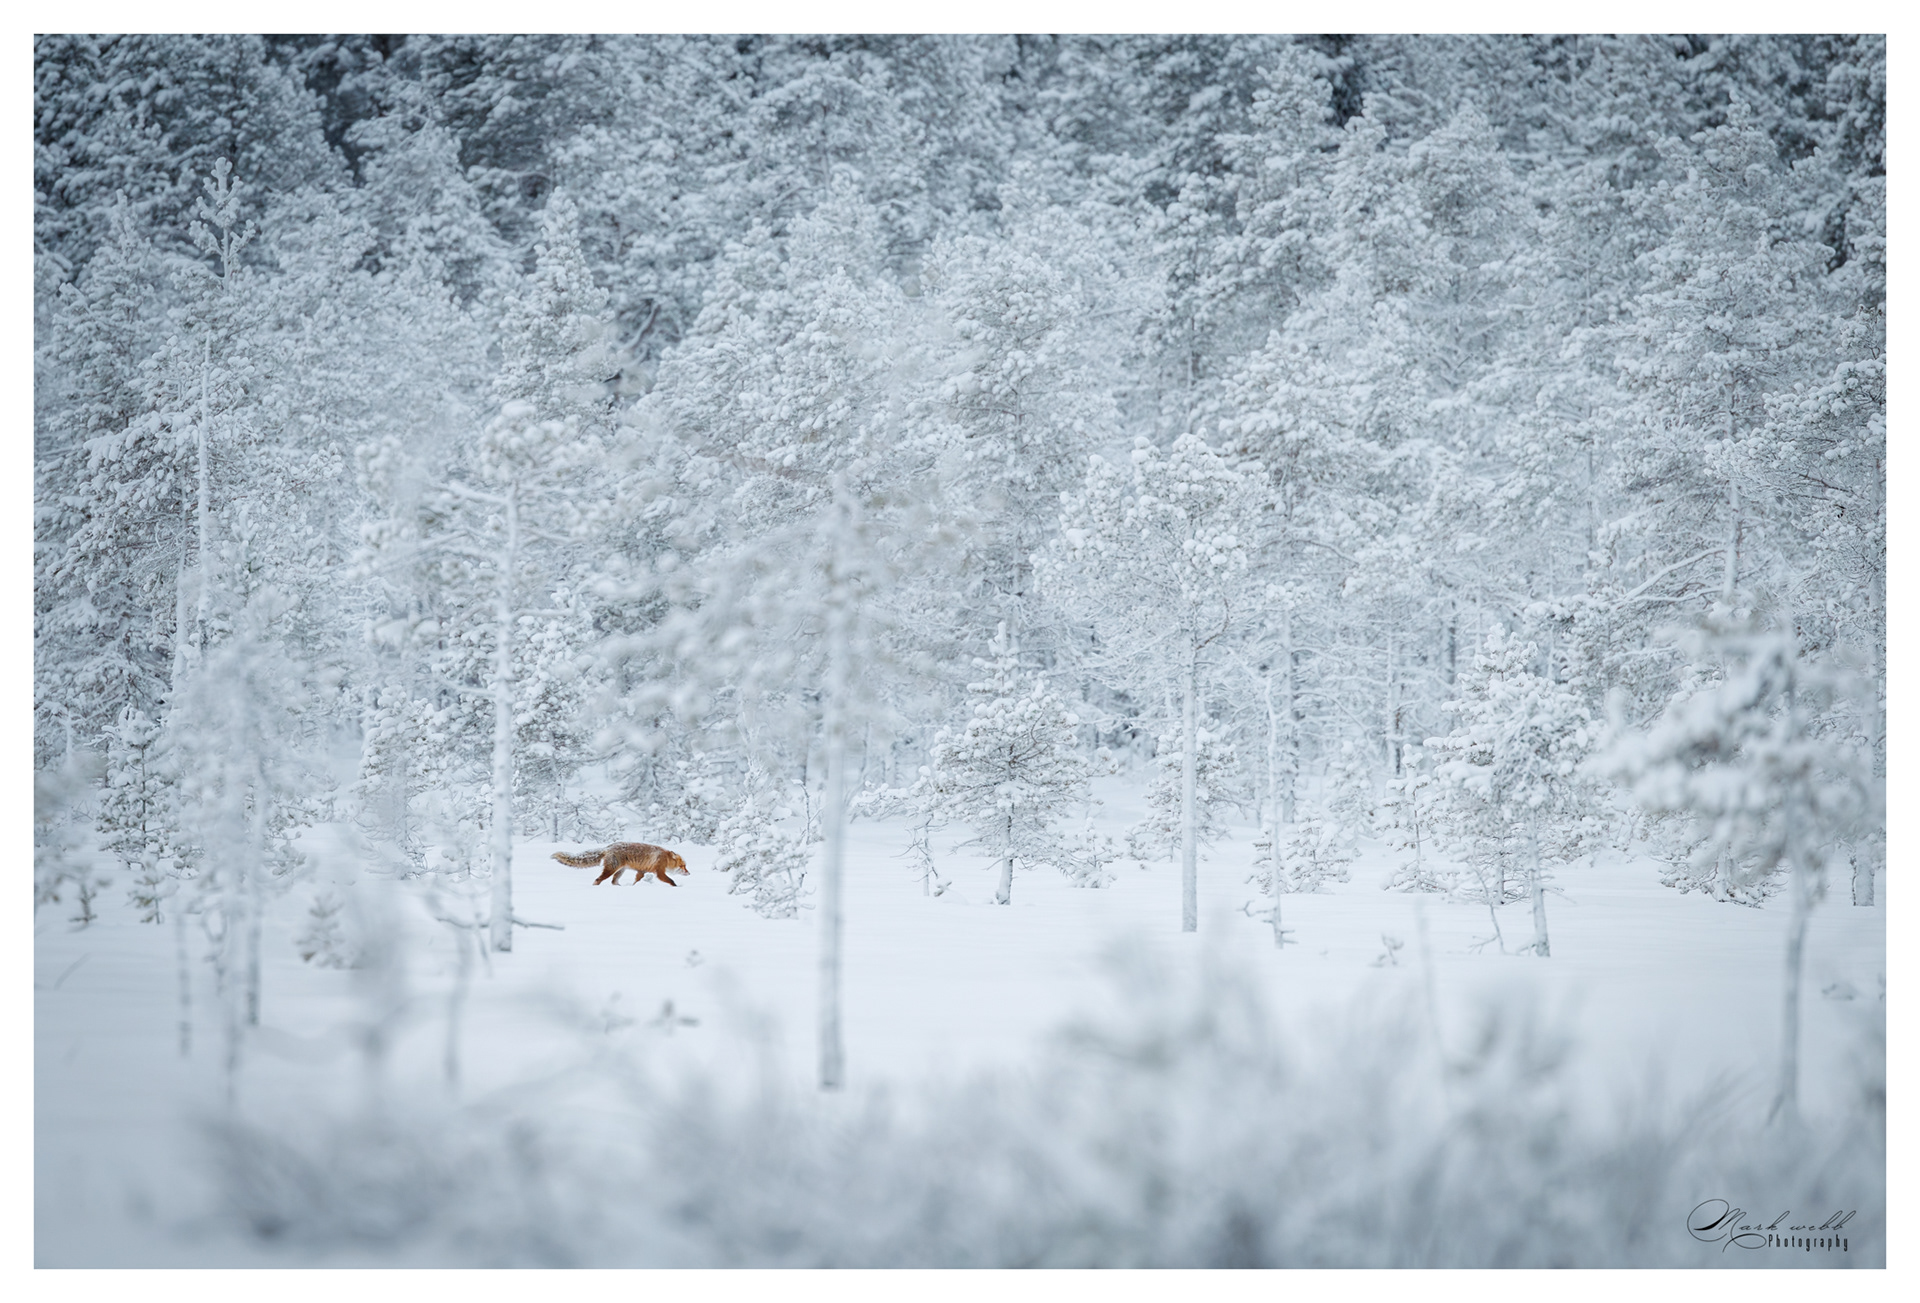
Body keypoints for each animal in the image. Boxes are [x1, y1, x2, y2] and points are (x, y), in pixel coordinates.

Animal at [552, 842, 690, 886]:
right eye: (683, 866)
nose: (689, 873)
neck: (665, 858)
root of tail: (608, 847)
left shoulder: (642, 871)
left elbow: (637, 880)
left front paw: (633, 887)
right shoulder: (660, 872)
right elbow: (671, 880)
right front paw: (676, 887)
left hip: (620, 871)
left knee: (614, 882)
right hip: (611, 870)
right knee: (598, 880)